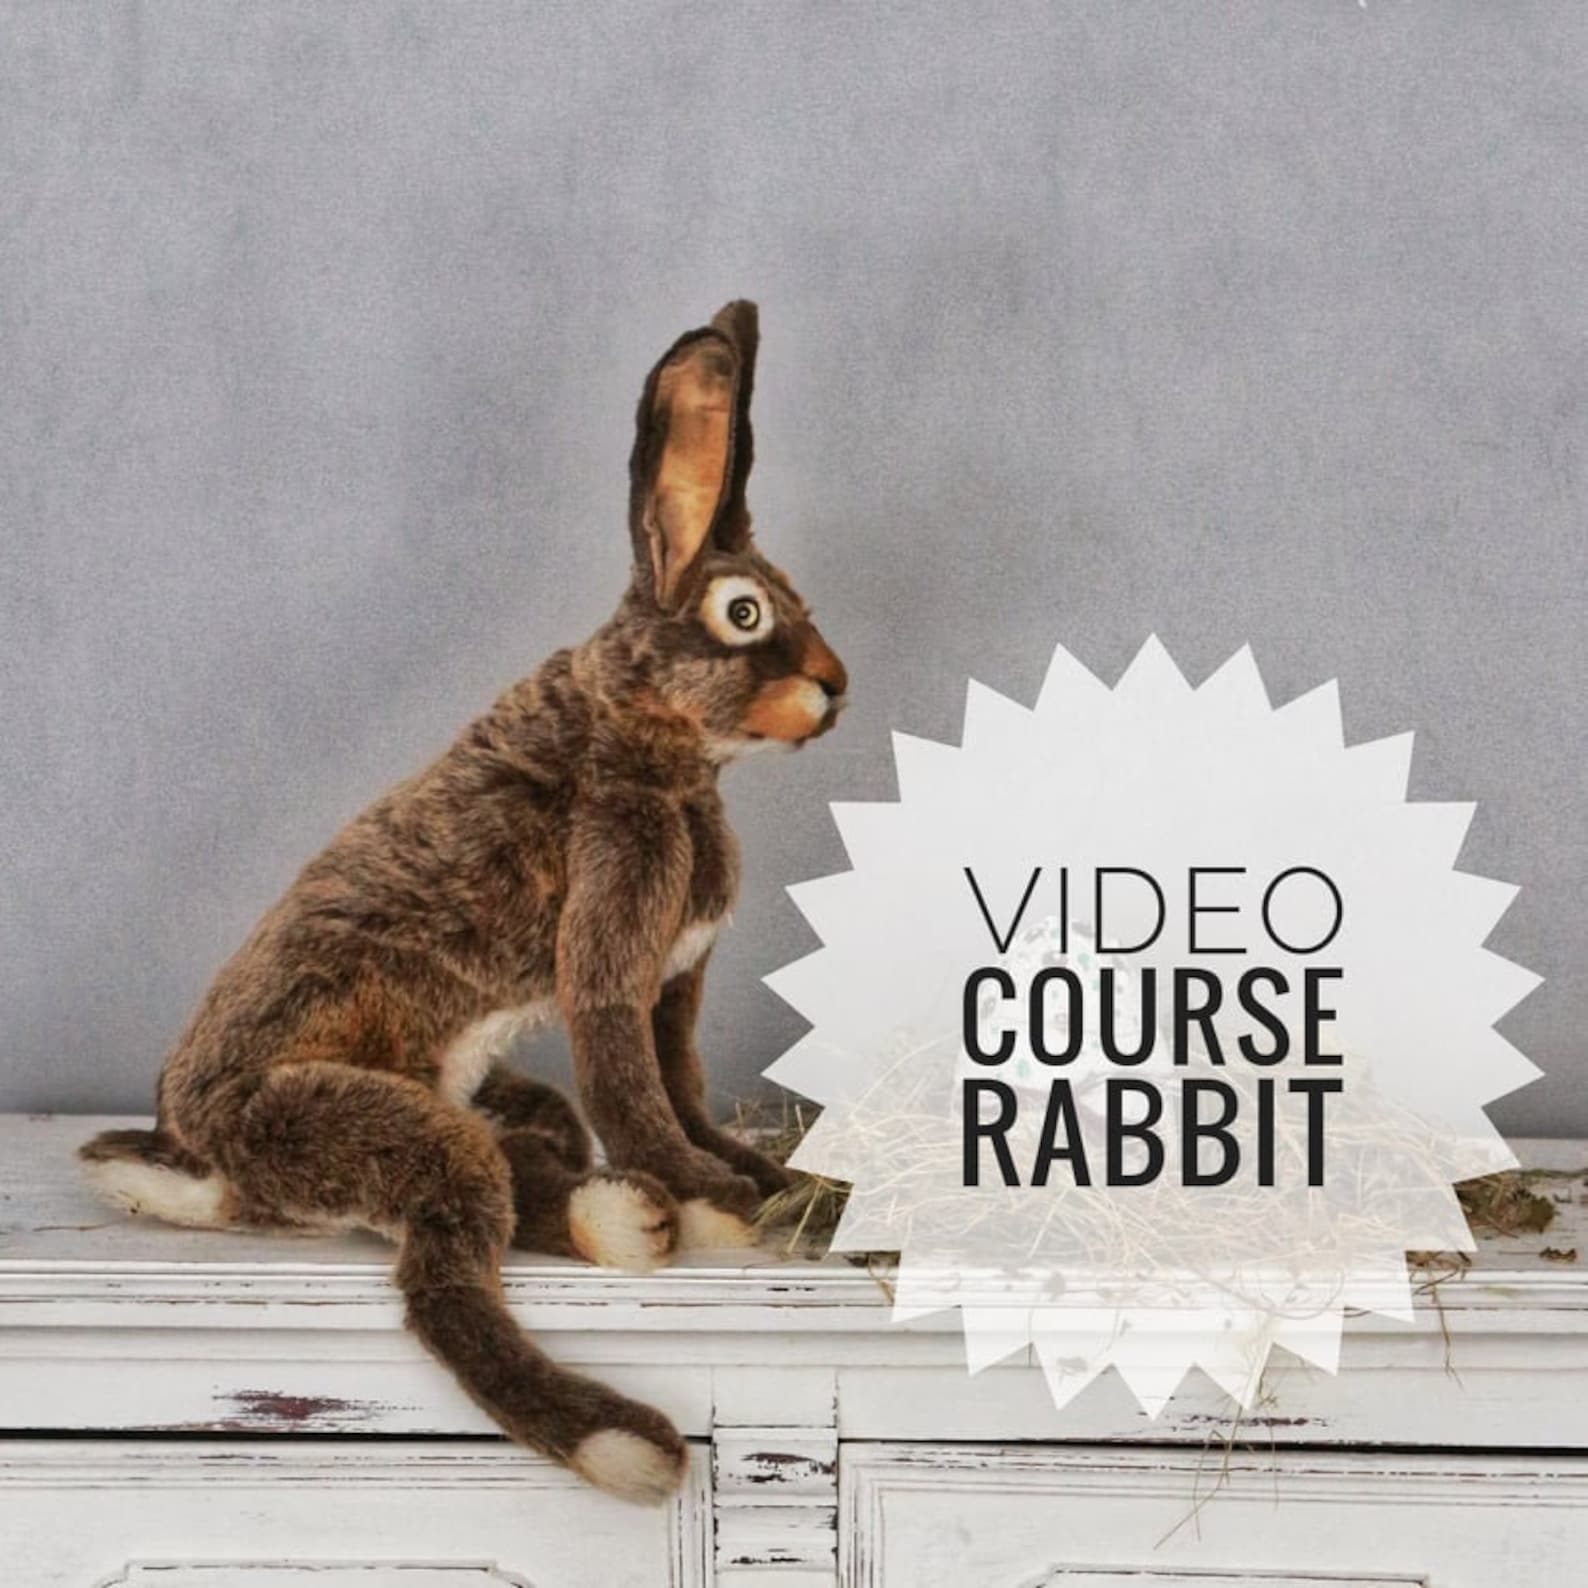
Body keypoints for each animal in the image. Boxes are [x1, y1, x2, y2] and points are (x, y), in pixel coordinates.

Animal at [79, 299, 848, 1504]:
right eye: (742, 611)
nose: (835, 684)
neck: (648, 731)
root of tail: (200, 1151)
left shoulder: (676, 989)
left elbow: (679, 1083)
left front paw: (764, 1178)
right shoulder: (613, 950)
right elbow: (635, 1085)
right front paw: (717, 1195)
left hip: (485, 1103)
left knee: (528, 1165)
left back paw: (618, 1216)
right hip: (370, 1128)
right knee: (444, 1273)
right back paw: (625, 1415)